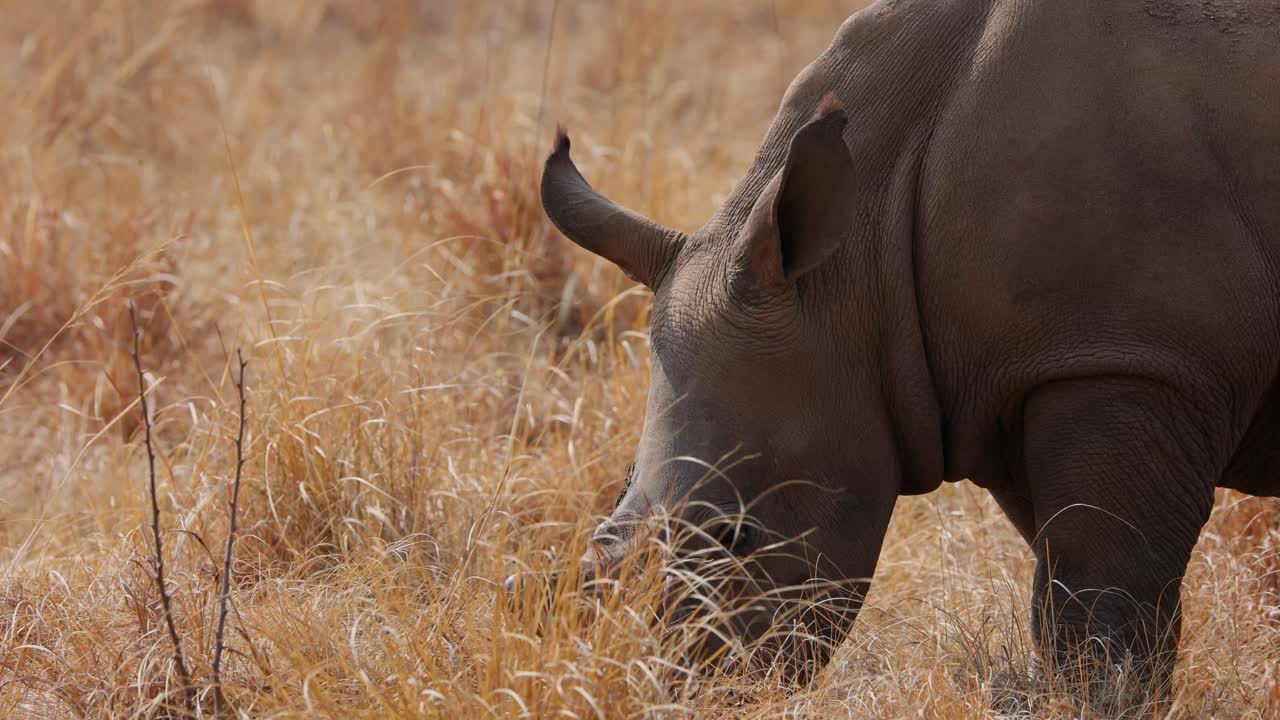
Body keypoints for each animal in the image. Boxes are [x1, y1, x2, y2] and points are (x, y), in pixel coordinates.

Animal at [533, 0, 1280, 705]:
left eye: (737, 537)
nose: (671, 688)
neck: (864, 256)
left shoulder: (1128, 362)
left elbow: (1102, 613)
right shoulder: (1020, 382)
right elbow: (1069, 598)